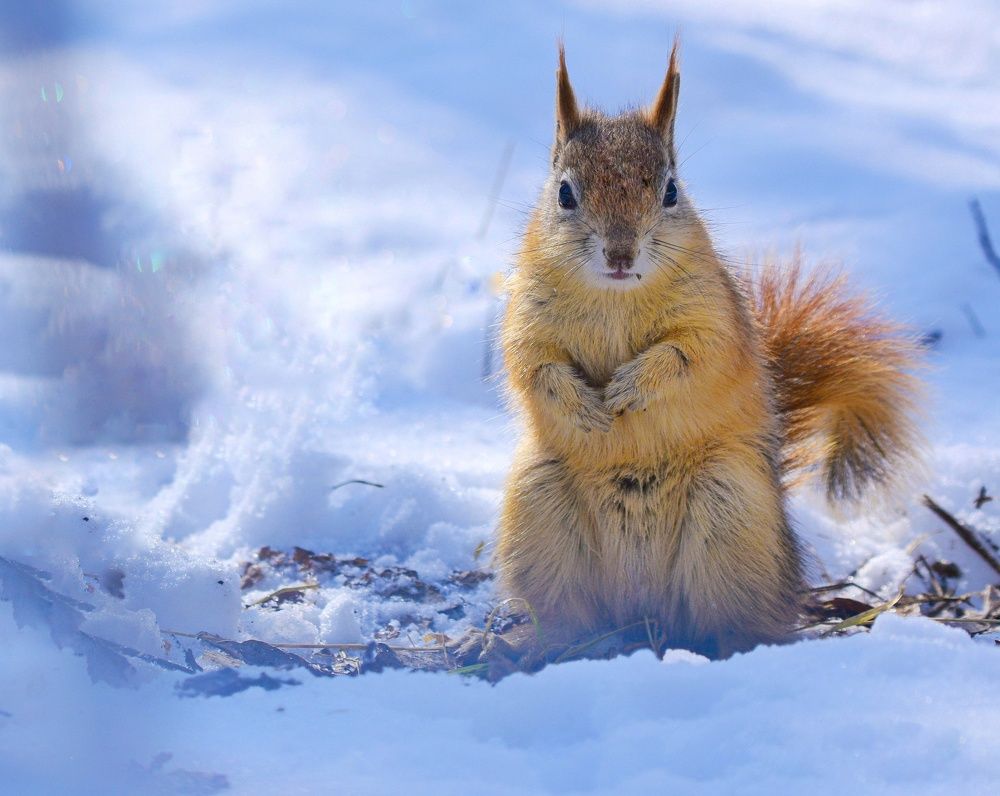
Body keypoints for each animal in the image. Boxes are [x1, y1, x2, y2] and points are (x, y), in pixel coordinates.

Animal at [495, 42, 922, 659]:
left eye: (671, 190)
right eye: (565, 194)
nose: (620, 253)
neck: (614, 296)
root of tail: (642, 610)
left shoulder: (714, 319)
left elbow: (688, 356)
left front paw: (630, 387)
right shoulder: (526, 319)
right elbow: (534, 367)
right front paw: (583, 405)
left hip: (729, 514)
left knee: (733, 617)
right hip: (541, 507)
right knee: (570, 612)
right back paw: (541, 644)